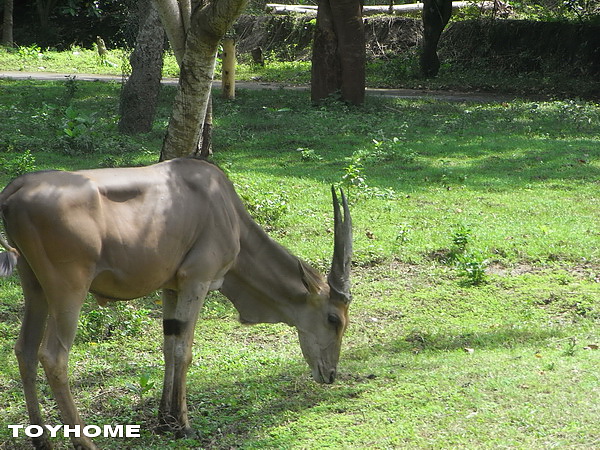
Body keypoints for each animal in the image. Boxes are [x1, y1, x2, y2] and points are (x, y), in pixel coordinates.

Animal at [0, 156, 352, 448]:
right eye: (334, 319)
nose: (331, 374)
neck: (224, 208)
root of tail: (16, 189)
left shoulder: (170, 288)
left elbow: (169, 346)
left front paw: (164, 420)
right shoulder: (197, 281)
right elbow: (184, 350)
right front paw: (183, 425)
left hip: (34, 287)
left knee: (25, 350)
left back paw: (42, 440)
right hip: (68, 291)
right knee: (53, 356)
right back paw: (84, 442)